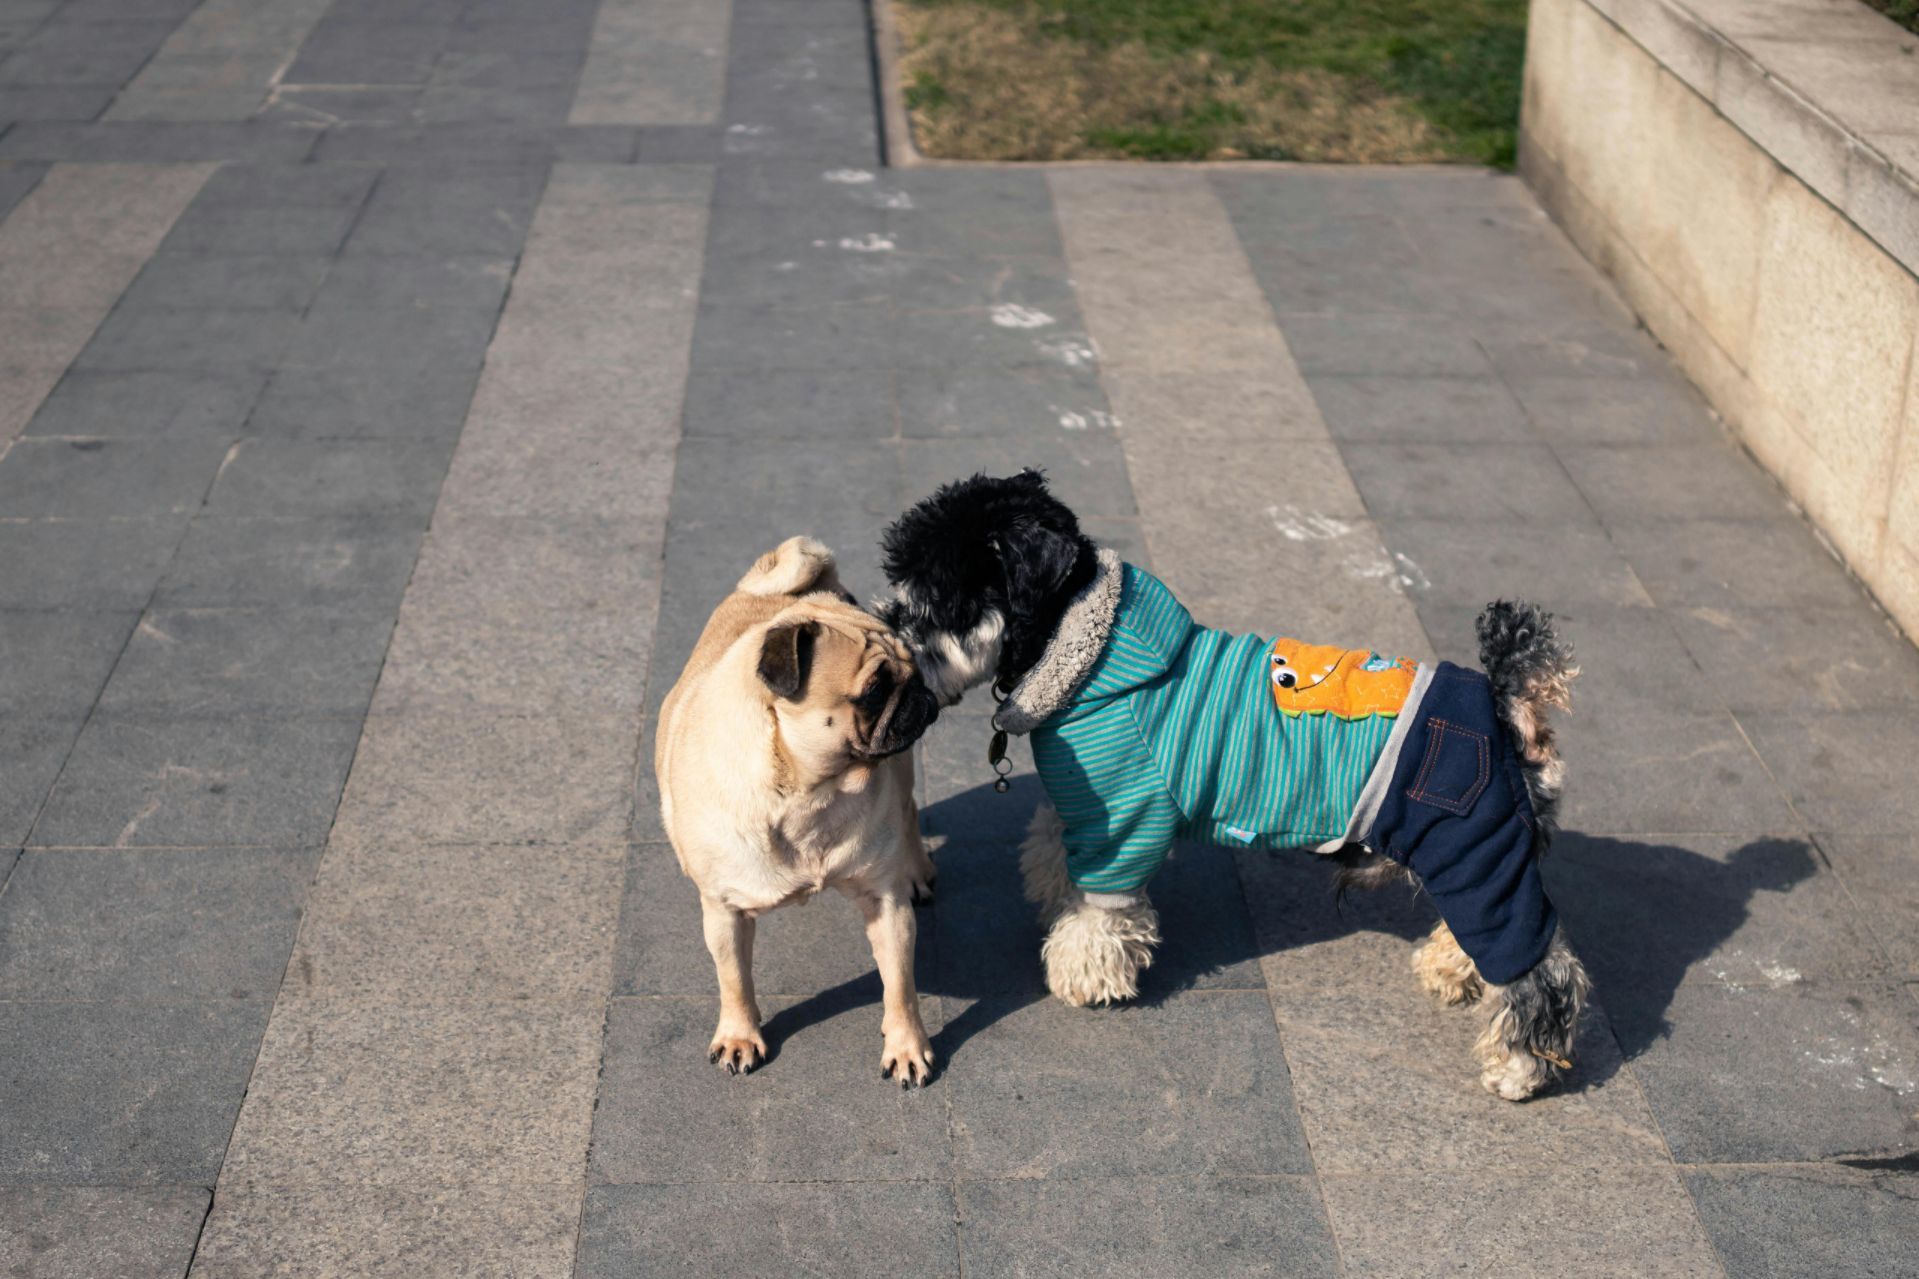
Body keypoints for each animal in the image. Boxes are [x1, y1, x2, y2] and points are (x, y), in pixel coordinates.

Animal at [656, 533, 940, 1083]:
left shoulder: (886, 903)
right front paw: (739, 1035)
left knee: (910, 808)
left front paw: (907, 1046)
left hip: (900, 772)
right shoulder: (723, 909)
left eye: (913, 665)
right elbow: (734, 980)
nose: (920, 690)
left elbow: (900, 986)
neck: (812, 792)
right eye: (874, 691)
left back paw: (917, 868)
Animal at [878, 468, 1588, 1098]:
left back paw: (1519, 1070)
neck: (1075, 650)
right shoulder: (1085, 803)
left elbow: (1101, 909)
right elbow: (1057, 850)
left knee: (1539, 968)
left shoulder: (1124, 823)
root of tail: (1510, 706)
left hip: (1476, 853)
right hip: (1478, 861)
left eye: (936, 601)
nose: (887, 630)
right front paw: (1057, 900)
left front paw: (1083, 972)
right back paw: (1449, 971)